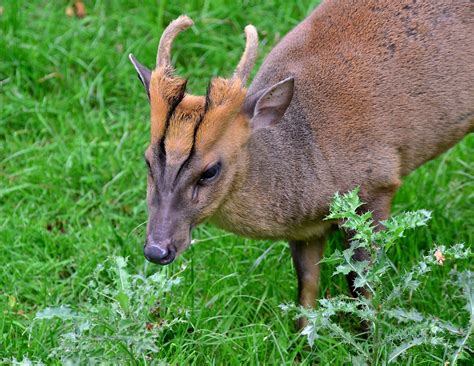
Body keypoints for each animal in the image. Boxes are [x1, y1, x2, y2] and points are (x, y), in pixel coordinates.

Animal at [128, 0, 472, 328]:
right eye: (147, 160)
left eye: (211, 170)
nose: (156, 249)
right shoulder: (305, 229)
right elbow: (306, 289)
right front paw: (302, 342)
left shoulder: (376, 185)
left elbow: (362, 287)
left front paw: (370, 338)